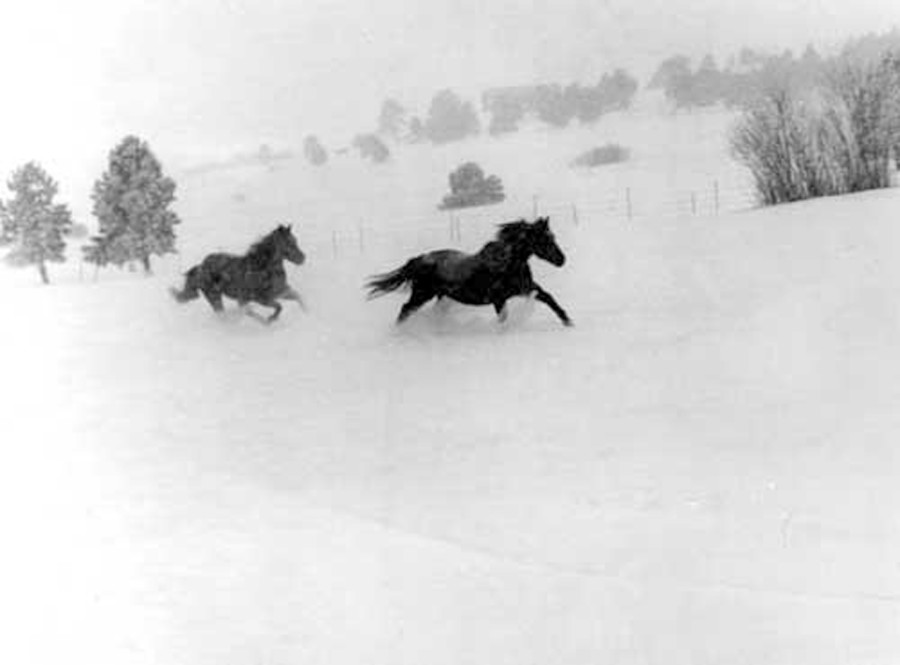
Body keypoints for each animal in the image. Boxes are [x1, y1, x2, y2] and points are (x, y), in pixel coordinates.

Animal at [171, 224, 308, 322]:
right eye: (290, 243)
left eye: (295, 241)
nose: (302, 258)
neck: (263, 268)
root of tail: (200, 267)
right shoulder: (262, 298)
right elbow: (279, 307)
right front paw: (271, 319)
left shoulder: (281, 292)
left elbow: (298, 297)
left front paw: (308, 313)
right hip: (215, 296)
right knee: (231, 314)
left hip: (233, 298)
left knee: (243, 311)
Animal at [366, 217, 568, 326]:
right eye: (544, 240)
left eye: (553, 237)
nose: (562, 260)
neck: (506, 263)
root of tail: (420, 259)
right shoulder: (498, 299)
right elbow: (503, 318)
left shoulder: (527, 288)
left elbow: (549, 298)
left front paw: (568, 322)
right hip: (422, 294)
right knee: (405, 309)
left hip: (440, 297)